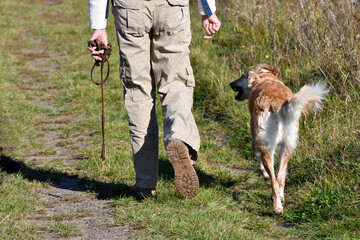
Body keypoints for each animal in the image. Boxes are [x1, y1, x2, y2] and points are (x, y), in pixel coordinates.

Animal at [231, 63, 330, 214]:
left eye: (242, 75)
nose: (231, 84)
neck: (264, 79)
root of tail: (276, 103)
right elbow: (282, 174)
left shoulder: (255, 140)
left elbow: (258, 160)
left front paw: (265, 175)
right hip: (288, 146)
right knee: (278, 177)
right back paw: (279, 201)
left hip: (266, 146)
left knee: (273, 178)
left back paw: (276, 207)